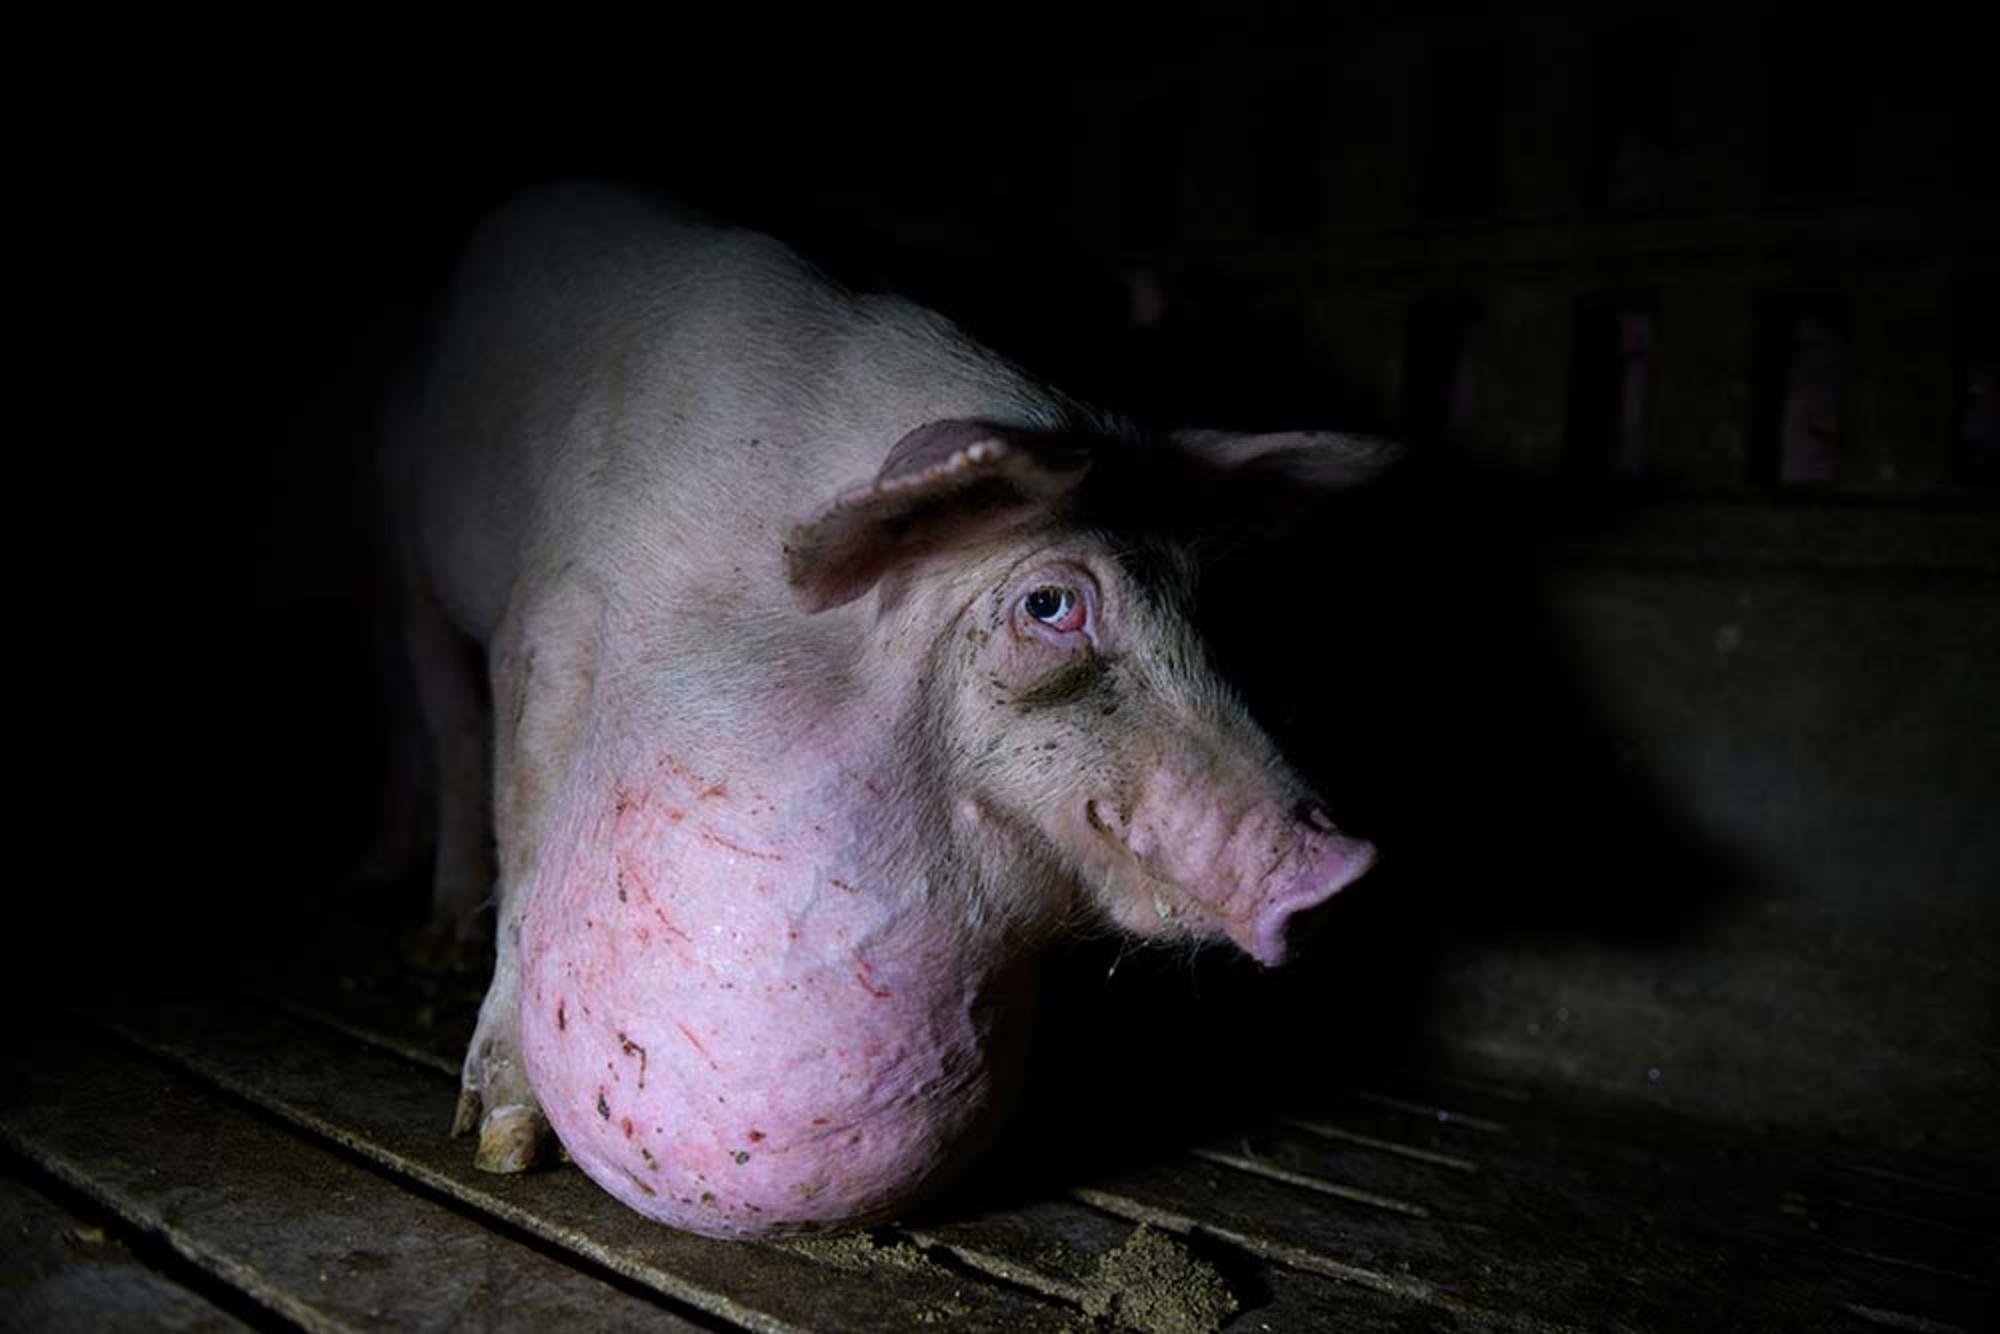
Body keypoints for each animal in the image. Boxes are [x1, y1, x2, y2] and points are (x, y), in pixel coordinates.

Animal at [386, 185, 1392, 1240]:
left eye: (1195, 605)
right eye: (1050, 605)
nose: (1343, 865)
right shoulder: (547, 625)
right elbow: (524, 835)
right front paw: (503, 1145)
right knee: (444, 728)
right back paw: (435, 935)